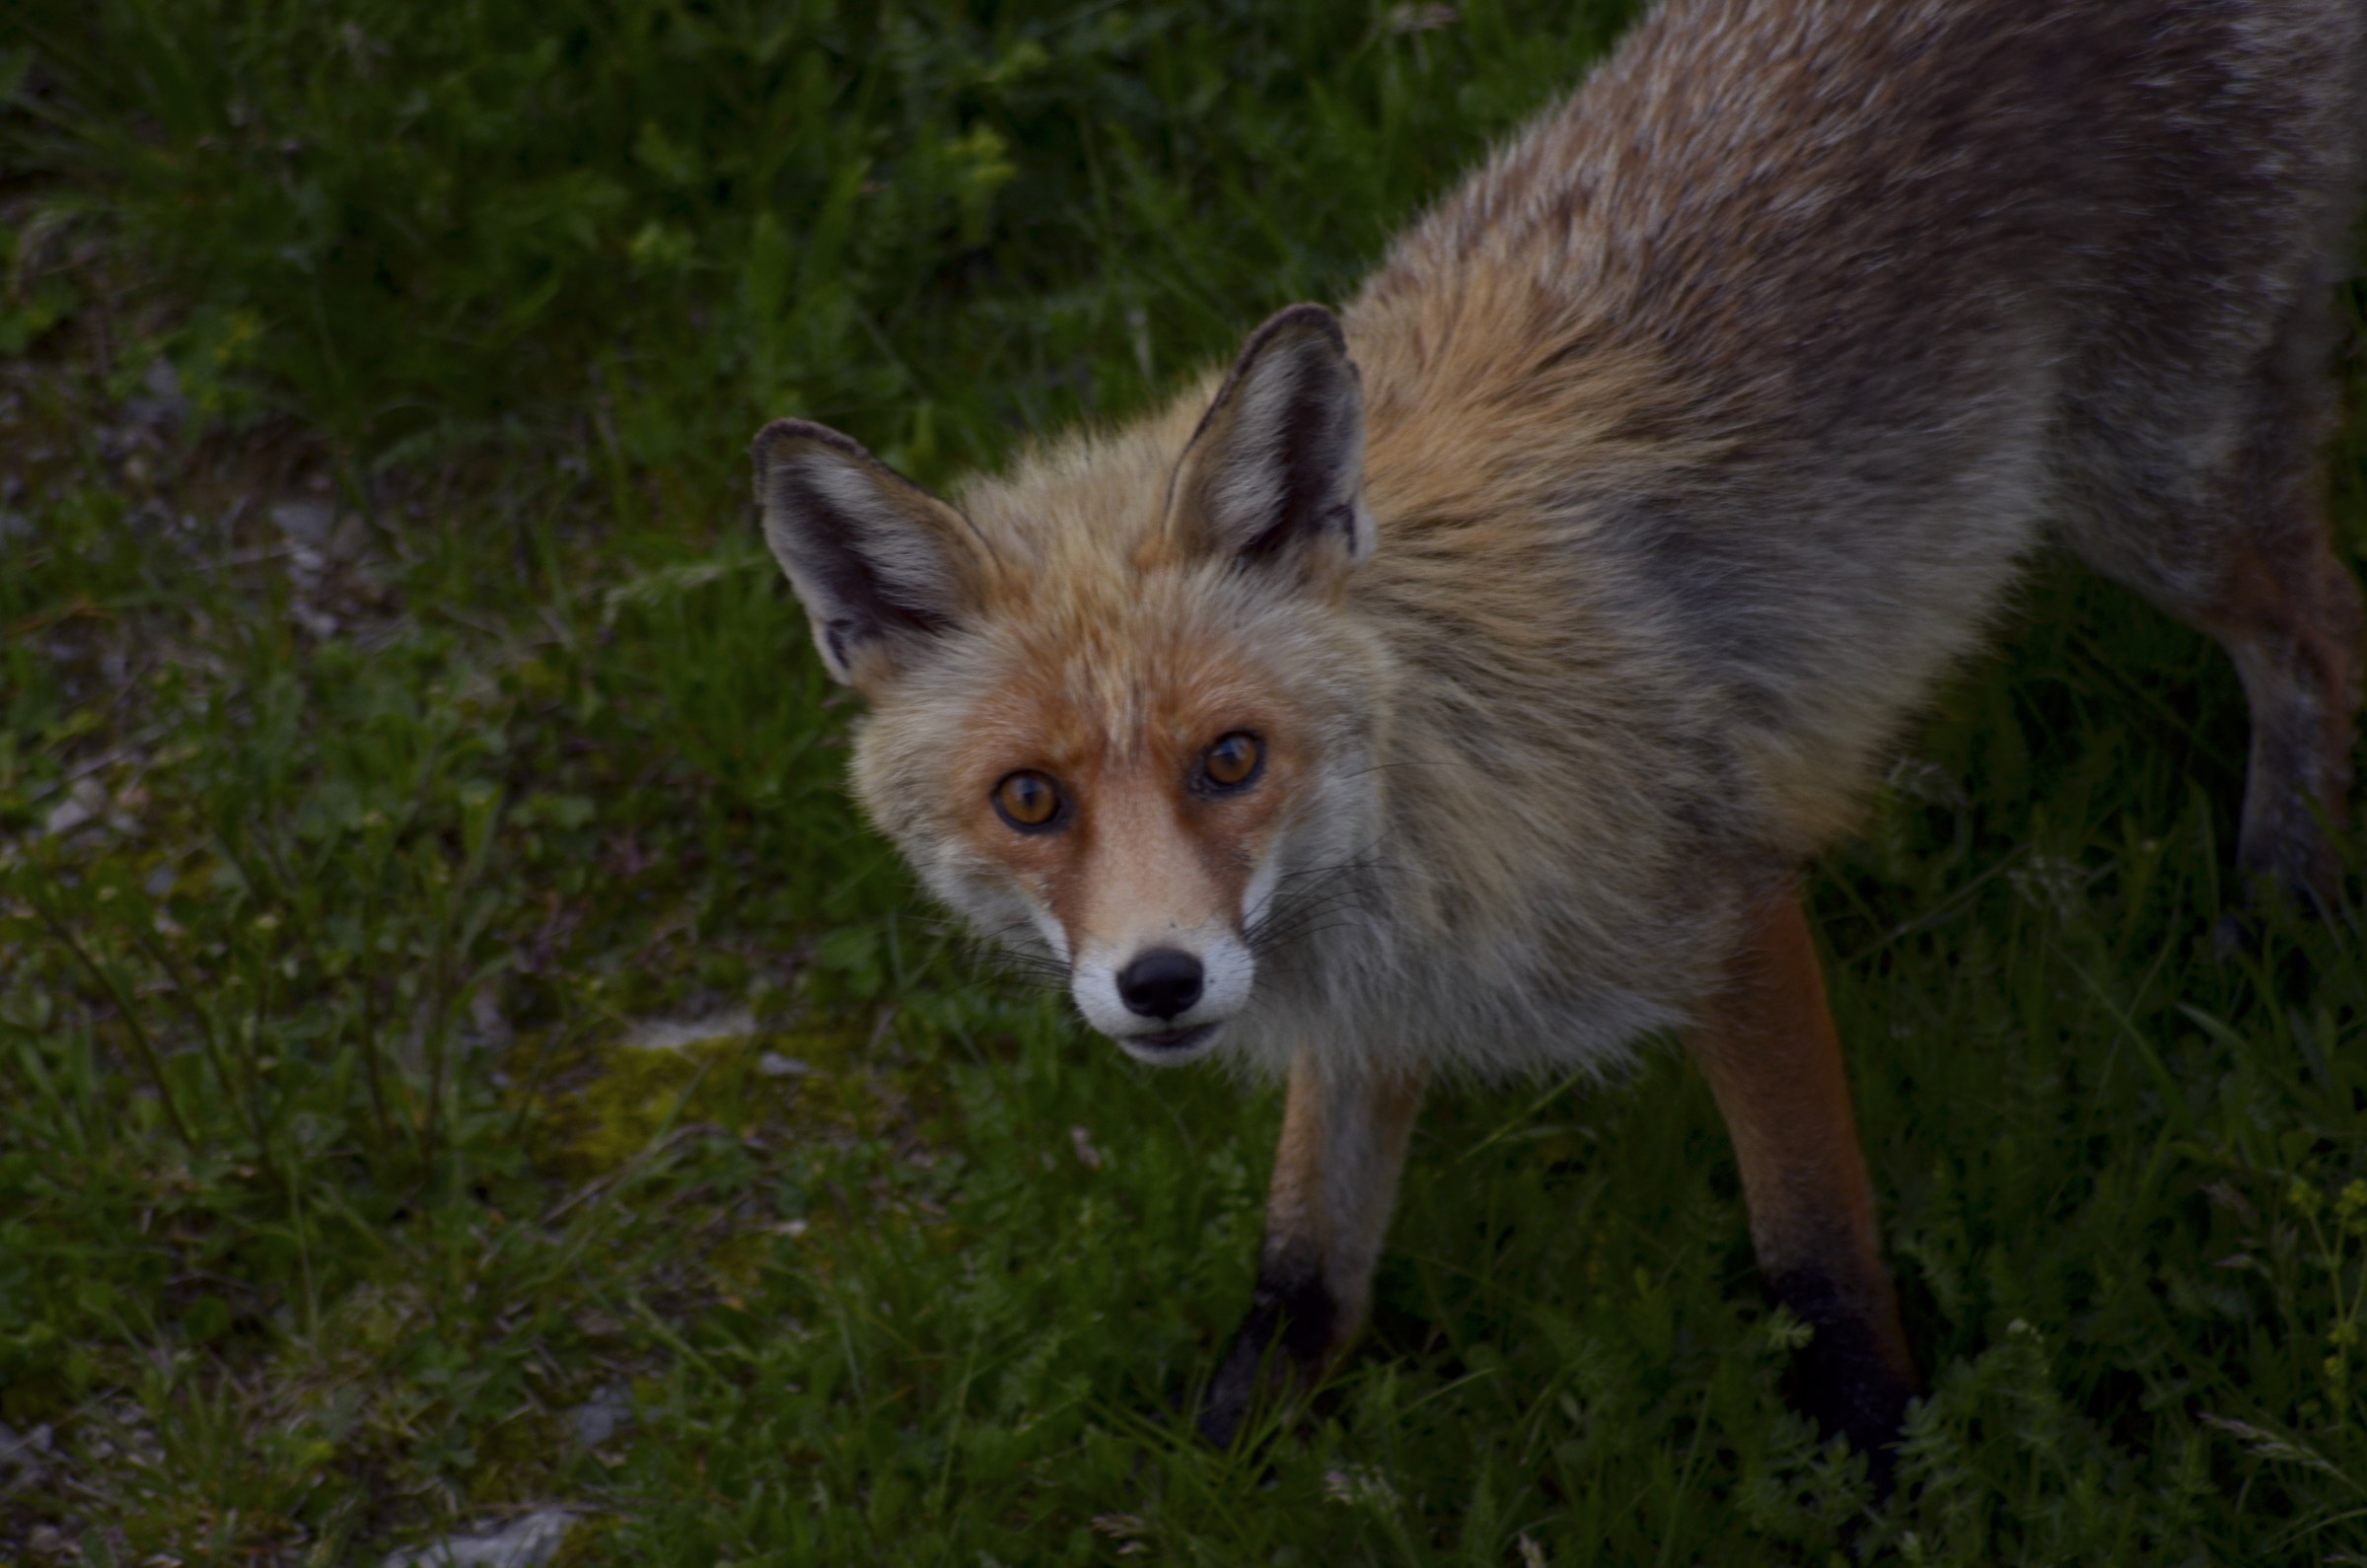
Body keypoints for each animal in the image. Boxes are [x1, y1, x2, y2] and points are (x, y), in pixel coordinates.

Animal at [750, 0, 2366, 1469]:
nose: (1160, 983)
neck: (1423, 794)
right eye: (1031, 798)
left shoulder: (1727, 912)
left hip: (2147, 491)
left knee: (2323, 630)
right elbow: (1306, 1270)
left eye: (1231, 760)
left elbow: (1814, 1253)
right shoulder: (1371, 1010)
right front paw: (1223, 1465)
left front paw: (1888, 1466)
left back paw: (2285, 913)